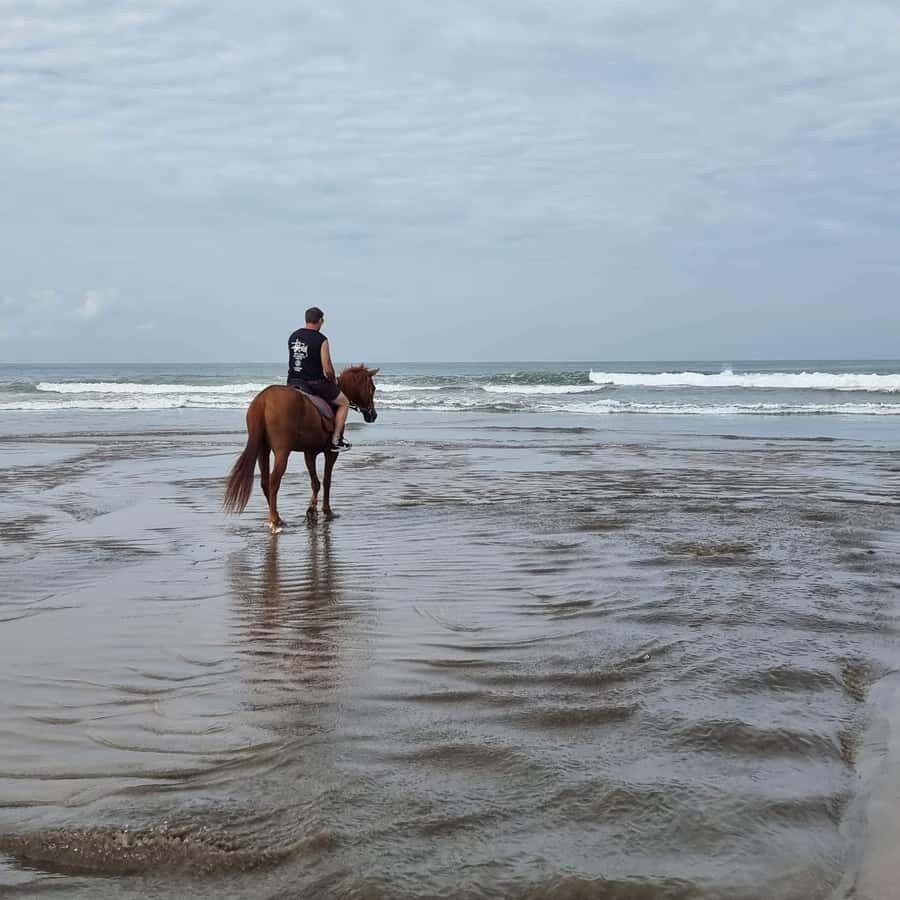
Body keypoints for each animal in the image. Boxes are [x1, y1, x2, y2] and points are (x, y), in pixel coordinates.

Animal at [224, 366, 379, 532]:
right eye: (372, 388)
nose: (373, 415)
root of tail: (263, 400)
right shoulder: (330, 453)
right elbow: (326, 480)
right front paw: (326, 510)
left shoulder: (309, 453)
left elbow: (315, 483)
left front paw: (312, 511)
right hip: (282, 452)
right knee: (274, 482)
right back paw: (275, 520)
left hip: (262, 450)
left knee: (265, 482)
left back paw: (276, 517)